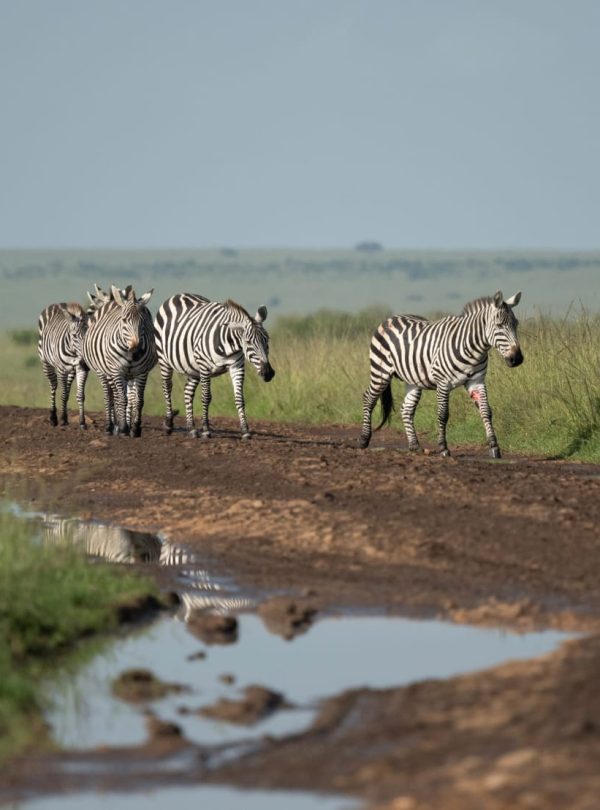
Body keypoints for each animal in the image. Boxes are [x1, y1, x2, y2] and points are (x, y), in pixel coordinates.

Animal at [82, 284, 157, 437]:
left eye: (143, 321)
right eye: (124, 320)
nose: (137, 349)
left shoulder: (142, 372)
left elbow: (138, 400)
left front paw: (135, 428)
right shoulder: (116, 371)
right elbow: (120, 398)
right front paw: (122, 427)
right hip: (103, 372)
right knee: (109, 397)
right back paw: (110, 426)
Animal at [153, 294, 275, 439]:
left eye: (267, 339)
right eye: (248, 342)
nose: (268, 373)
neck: (229, 344)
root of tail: (178, 295)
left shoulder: (237, 366)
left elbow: (239, 399)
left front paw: (245, 430)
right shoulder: (204, 366)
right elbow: (206, 397)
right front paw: (206, 429)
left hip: (193, 368)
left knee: (188, 392)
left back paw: (191, 428)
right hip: (164, 359)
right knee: (167, 387)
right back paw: (168, 425)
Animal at [359, 291, 523, 458]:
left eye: (516, 324)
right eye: (499, 325)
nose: (517, 359)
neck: (473, 348)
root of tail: (391, 318)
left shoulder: (477, 381)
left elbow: (486, 411)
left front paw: (494, 447)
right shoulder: (443, 382)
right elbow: (443, 415)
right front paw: (443, 448)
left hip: (413, 380)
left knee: (406, 409)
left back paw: (414, 446)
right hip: (381, 372)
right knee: (368, 399)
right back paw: (364, 440)